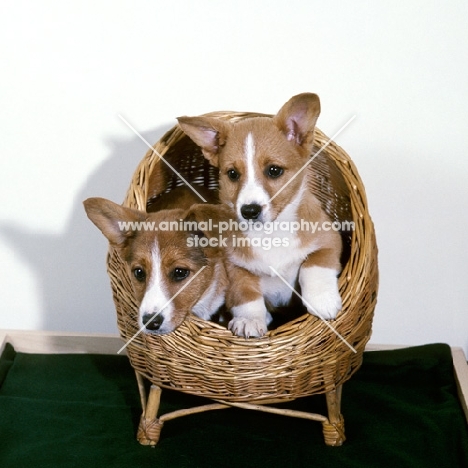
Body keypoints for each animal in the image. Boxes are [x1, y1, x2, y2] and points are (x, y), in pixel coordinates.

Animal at [177, 93, 342, 338]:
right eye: (232, 174)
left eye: (274, 170)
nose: (249, 211)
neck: (270, 233)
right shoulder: (234, 267)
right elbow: (246, 294)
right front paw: (250, 320)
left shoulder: (330, 240)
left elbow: (314, 265)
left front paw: (322, 301)